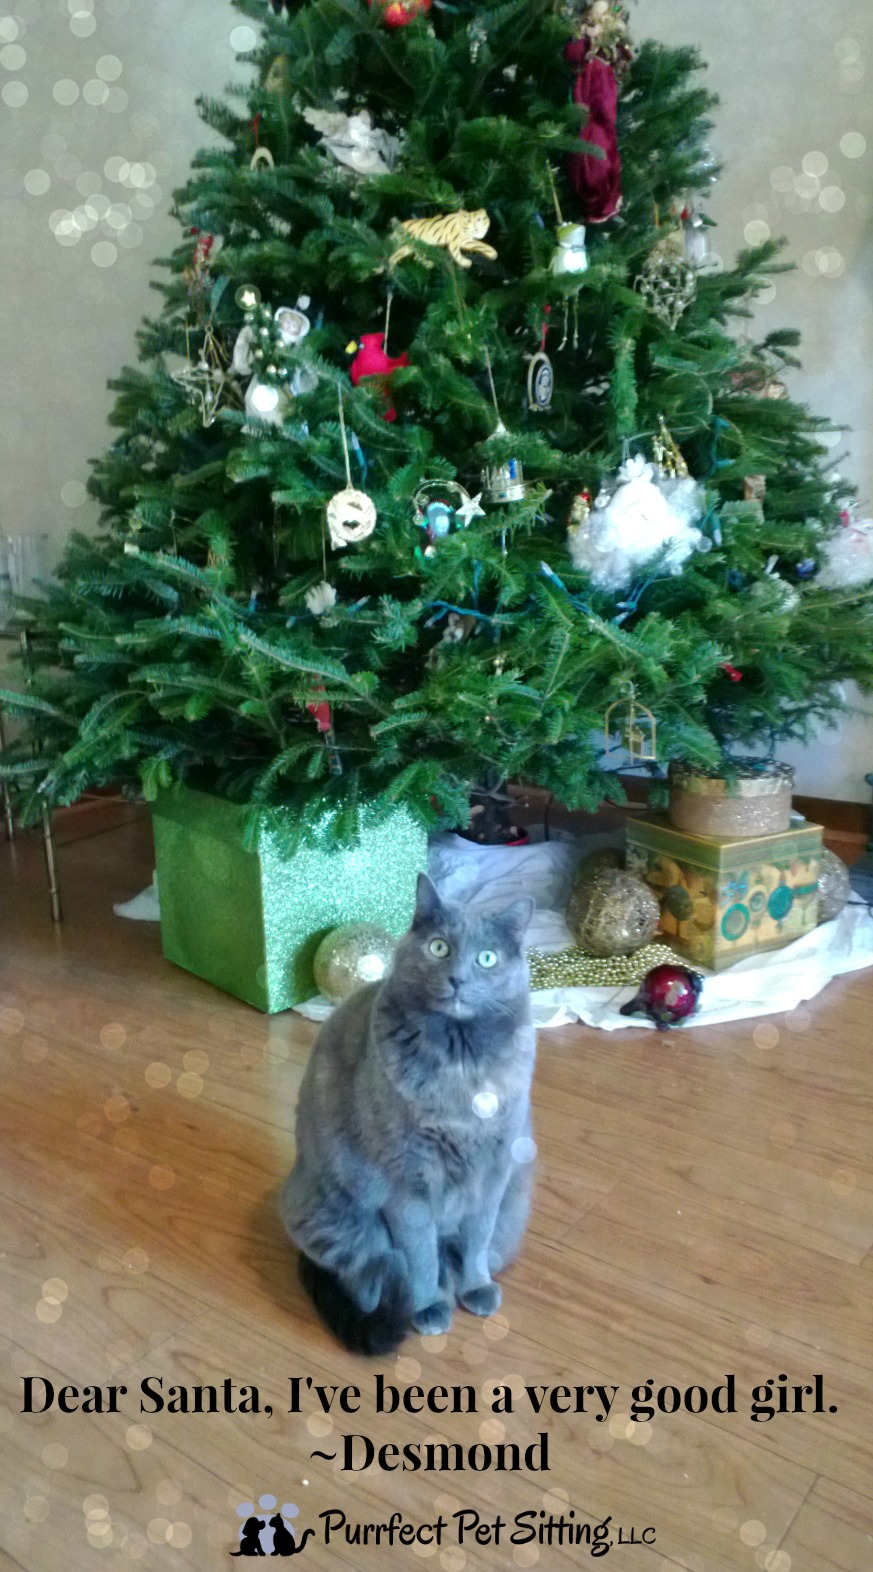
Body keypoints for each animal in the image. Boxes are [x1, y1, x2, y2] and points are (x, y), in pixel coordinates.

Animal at [283, 874, 534, 1351]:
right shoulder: (408, 1182)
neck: (460, 1060)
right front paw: (427, 1306)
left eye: (487, 958)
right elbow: (419, 1255)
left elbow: (478, 1237)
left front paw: (476, 1286)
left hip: (517, 1194)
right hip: (345, 1216)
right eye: (439, 947)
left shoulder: (493, 1171)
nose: (458, 978)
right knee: (369, 1274)